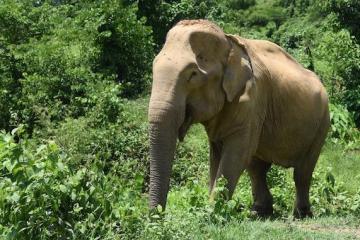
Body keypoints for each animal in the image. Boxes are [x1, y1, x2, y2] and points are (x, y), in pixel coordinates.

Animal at [148, 19, 330, 218]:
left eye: (193, 74)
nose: (156, 215)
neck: (229, 44)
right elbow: (217, 156)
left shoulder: (252, 99)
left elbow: (236, 153)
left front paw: (211, 212)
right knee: (257, 167)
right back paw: (259, 212)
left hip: (322, 123)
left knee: (302, 171)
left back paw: (300, 214)